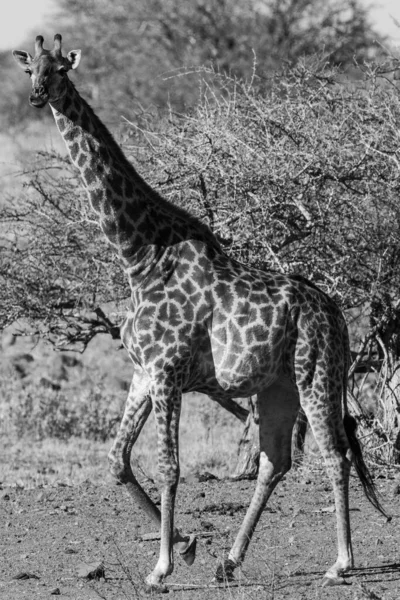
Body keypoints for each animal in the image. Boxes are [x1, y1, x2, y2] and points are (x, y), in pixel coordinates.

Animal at [13, 36, 388, 592]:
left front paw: (161, 567)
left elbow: (169, 467)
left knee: (334, 454)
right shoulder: (143, 371)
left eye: (61, 68)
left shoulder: (168, 372)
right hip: (276, 386)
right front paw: (188, 546)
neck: (139, 256)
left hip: (316, 373)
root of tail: (338, 315)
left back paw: (341, 563)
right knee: (275, 461)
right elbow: (117, 461)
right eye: (30, 69)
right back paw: (228, 561)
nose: (39, 95)